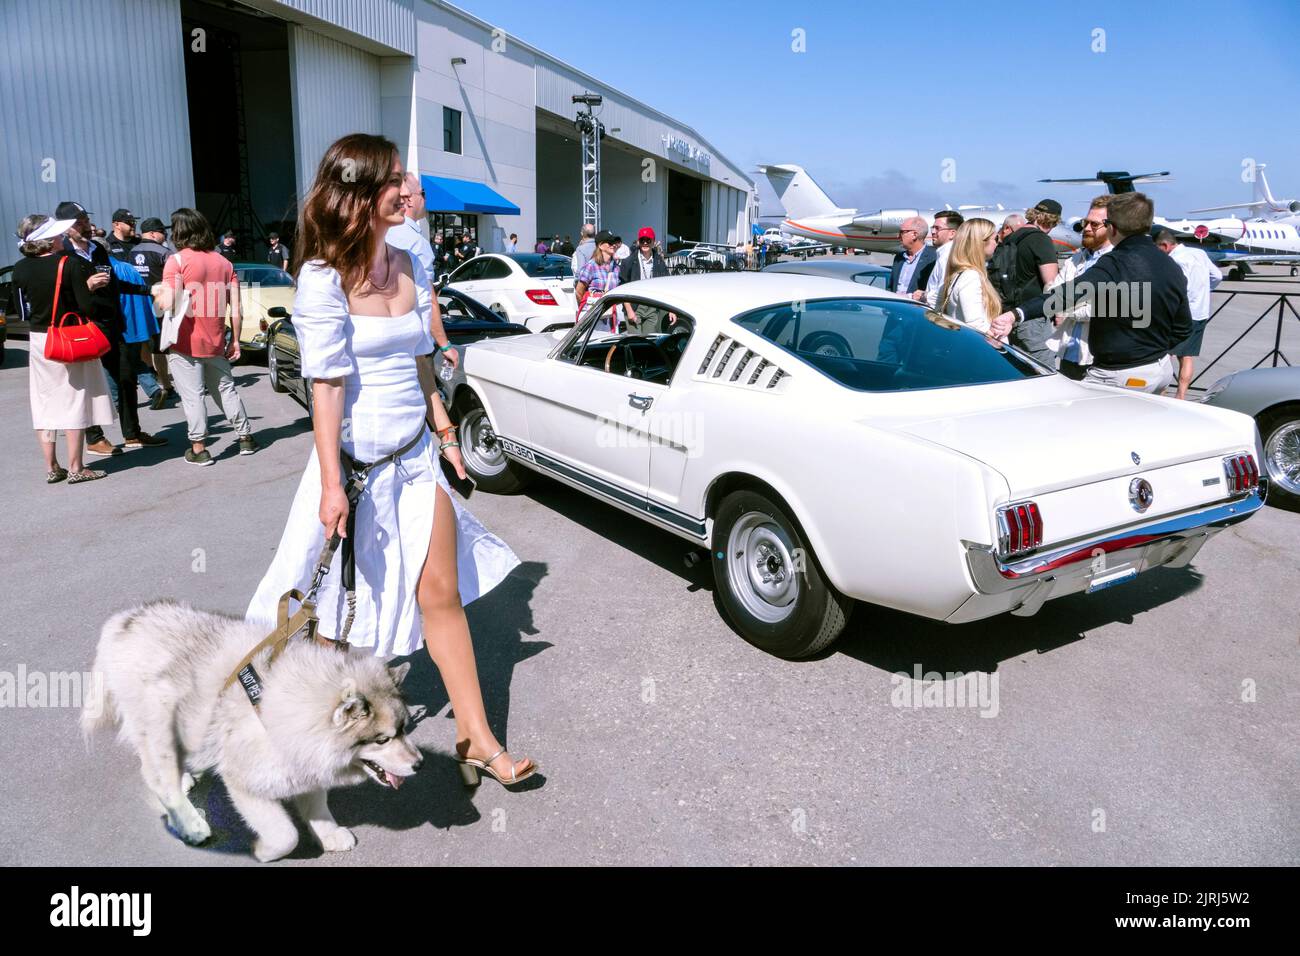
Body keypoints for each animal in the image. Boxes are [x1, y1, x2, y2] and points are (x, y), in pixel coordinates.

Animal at [85, 600, 421, 863]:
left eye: (404, 728)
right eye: (382, 739)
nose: (419, 764)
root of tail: (122, 622)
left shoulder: (306, 760)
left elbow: (316, 804)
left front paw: (329, 834)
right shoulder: (244, 781)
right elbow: (285, 834)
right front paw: (264, 850)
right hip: (158, 725)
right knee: (157, 778)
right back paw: (190, 823)